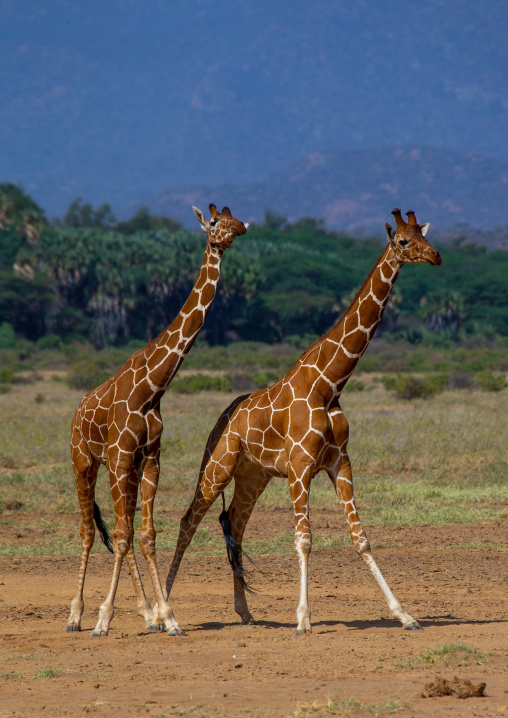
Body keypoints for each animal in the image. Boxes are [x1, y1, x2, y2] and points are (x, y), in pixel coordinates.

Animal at [66, 204, 249, 637]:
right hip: (84, 461)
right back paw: (76, 615)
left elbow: (145, 534)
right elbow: (119, 535)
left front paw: (167, 615)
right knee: (88, 530)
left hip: (125, 470)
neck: (153, 388)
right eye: (214, 222)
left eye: (233, 214)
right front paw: (103, 619)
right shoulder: (118, 457)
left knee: (128, 531)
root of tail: (78, 411)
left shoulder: (149, 458)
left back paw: (145, 612)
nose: (240, 227)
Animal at [164, 208, 441, 634]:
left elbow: (361, 538)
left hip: (252, 476)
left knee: (235, 524)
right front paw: (303, 620)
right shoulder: (300, 467)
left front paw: (404, 614)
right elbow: (304, 540)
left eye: (424, 235)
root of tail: (221, 419)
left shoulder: (339, 461)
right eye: (403, 242)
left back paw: (245, 612)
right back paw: (162, 611)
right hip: (217, 466)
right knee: (187, 521)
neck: (328, 385)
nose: (435, 256)